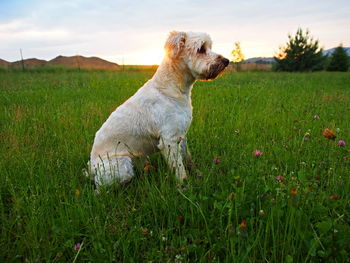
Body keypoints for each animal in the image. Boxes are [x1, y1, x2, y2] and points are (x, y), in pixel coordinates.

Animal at [86, 31, 230, 190]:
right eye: (200, 49)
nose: (227, 61)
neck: (171, 89)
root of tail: (91, 169)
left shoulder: (181, 135)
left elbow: (188, 159)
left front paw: (198, 175)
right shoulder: (169, 139)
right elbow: (179, 169)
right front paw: (184, 187)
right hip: (122, 165)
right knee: (102, 190)